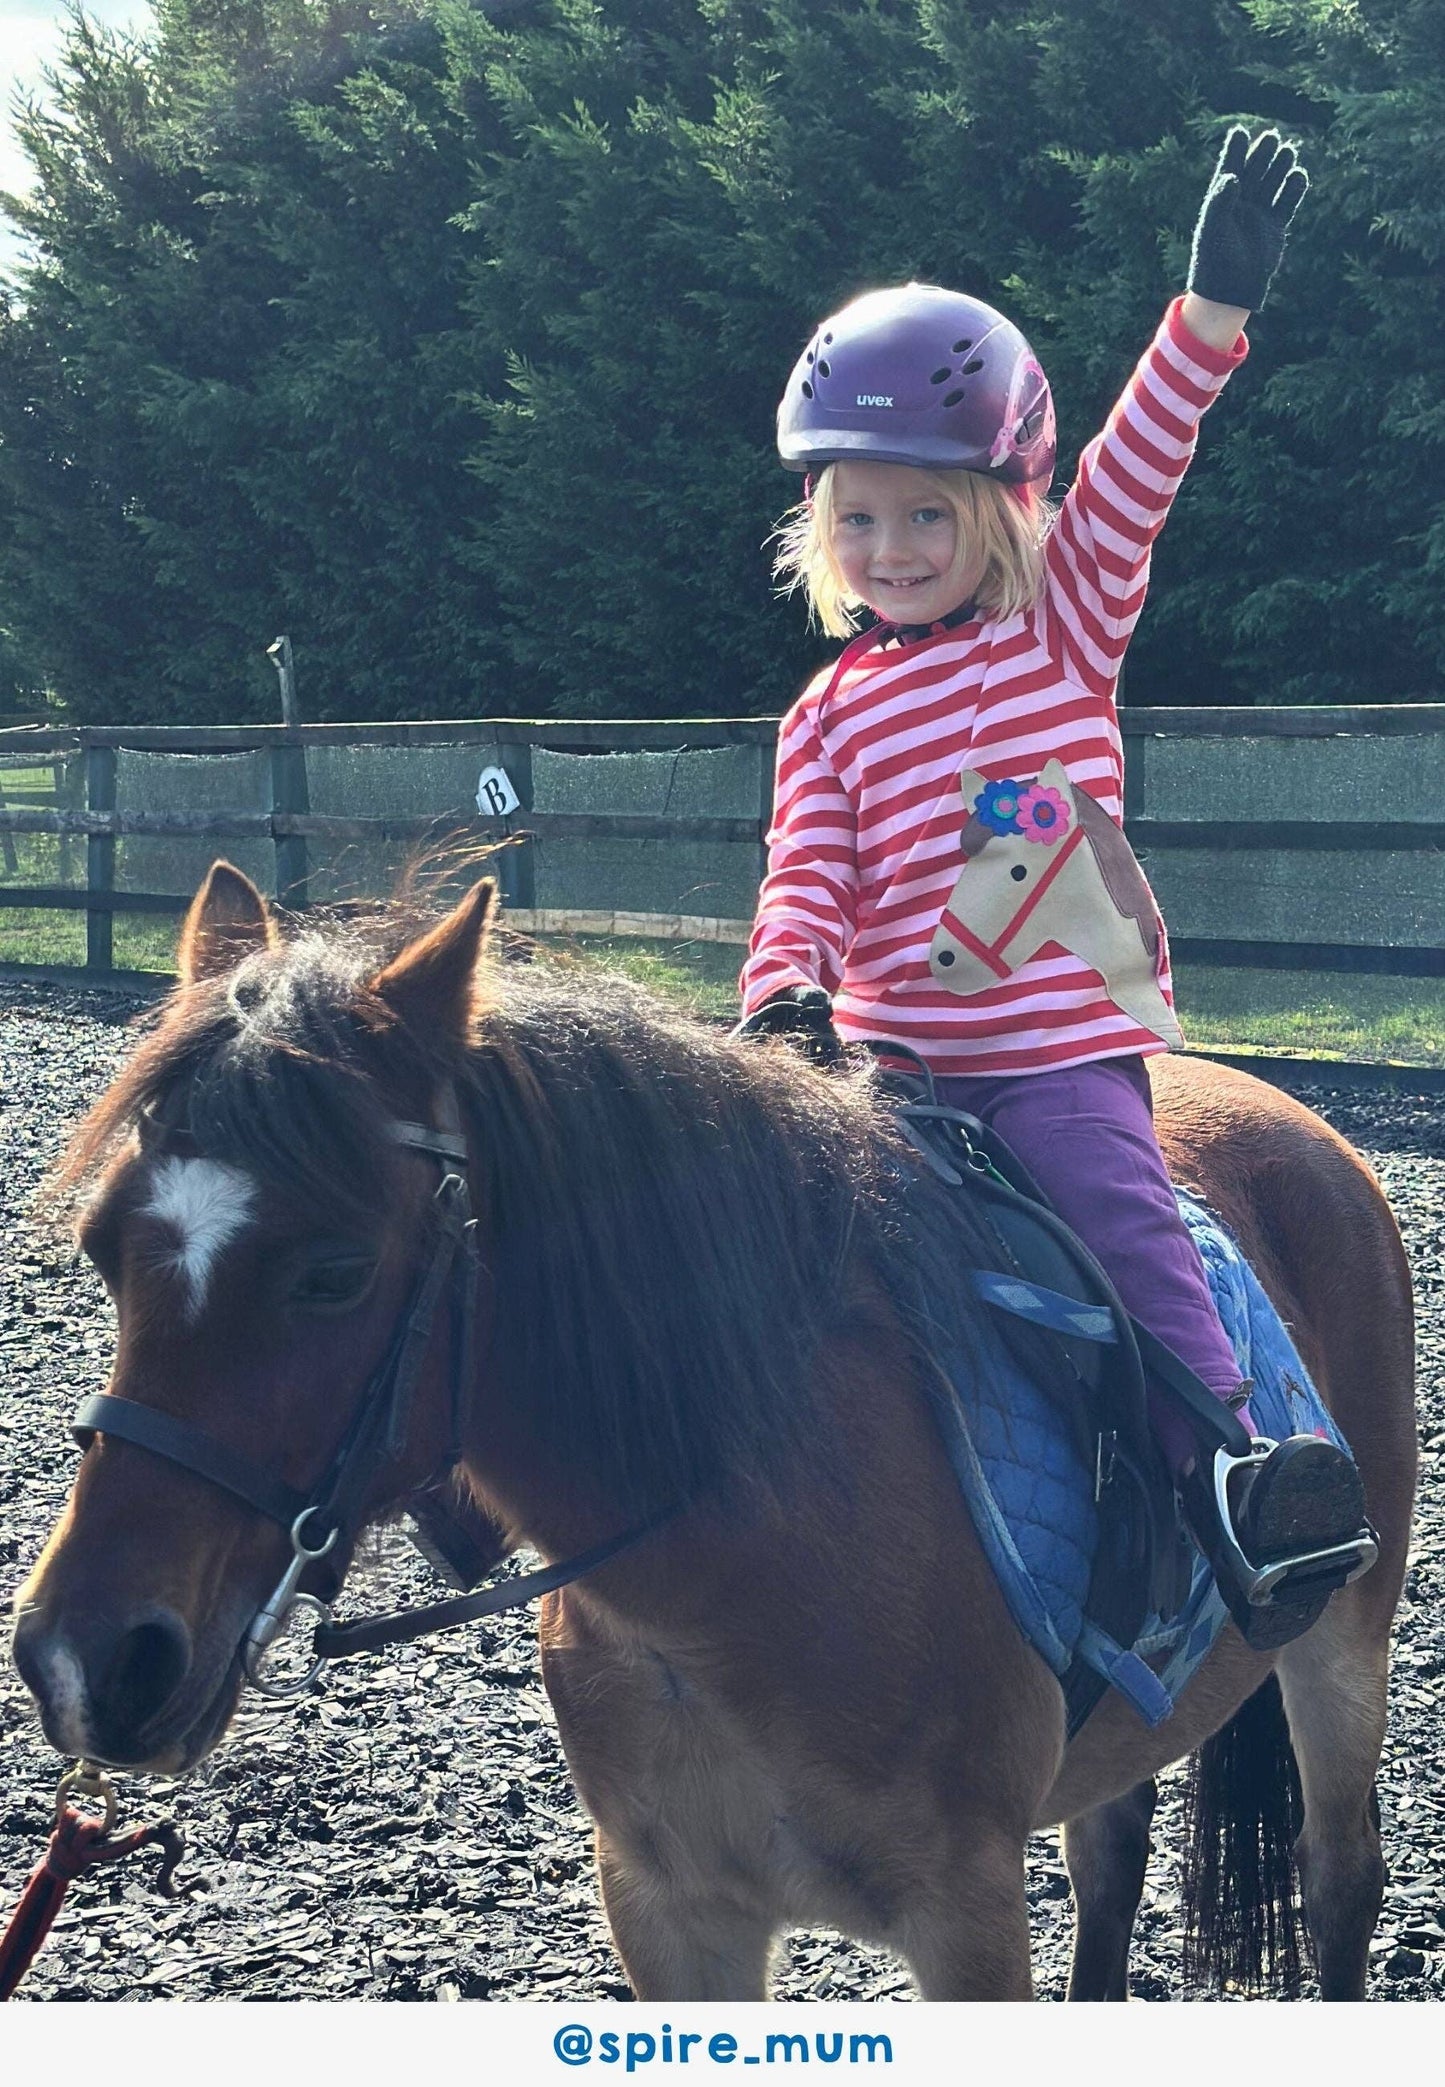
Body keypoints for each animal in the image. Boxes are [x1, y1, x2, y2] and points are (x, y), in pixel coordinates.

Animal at [9, 862, 1416, 2001]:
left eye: (336, 1273)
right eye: (103, 1249)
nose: (88, 1661)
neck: (731, 1568)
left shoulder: (964, 1915)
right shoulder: (669, 1910)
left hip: (1343, 1633)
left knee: (1338, 1881)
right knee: (1112, 1859)